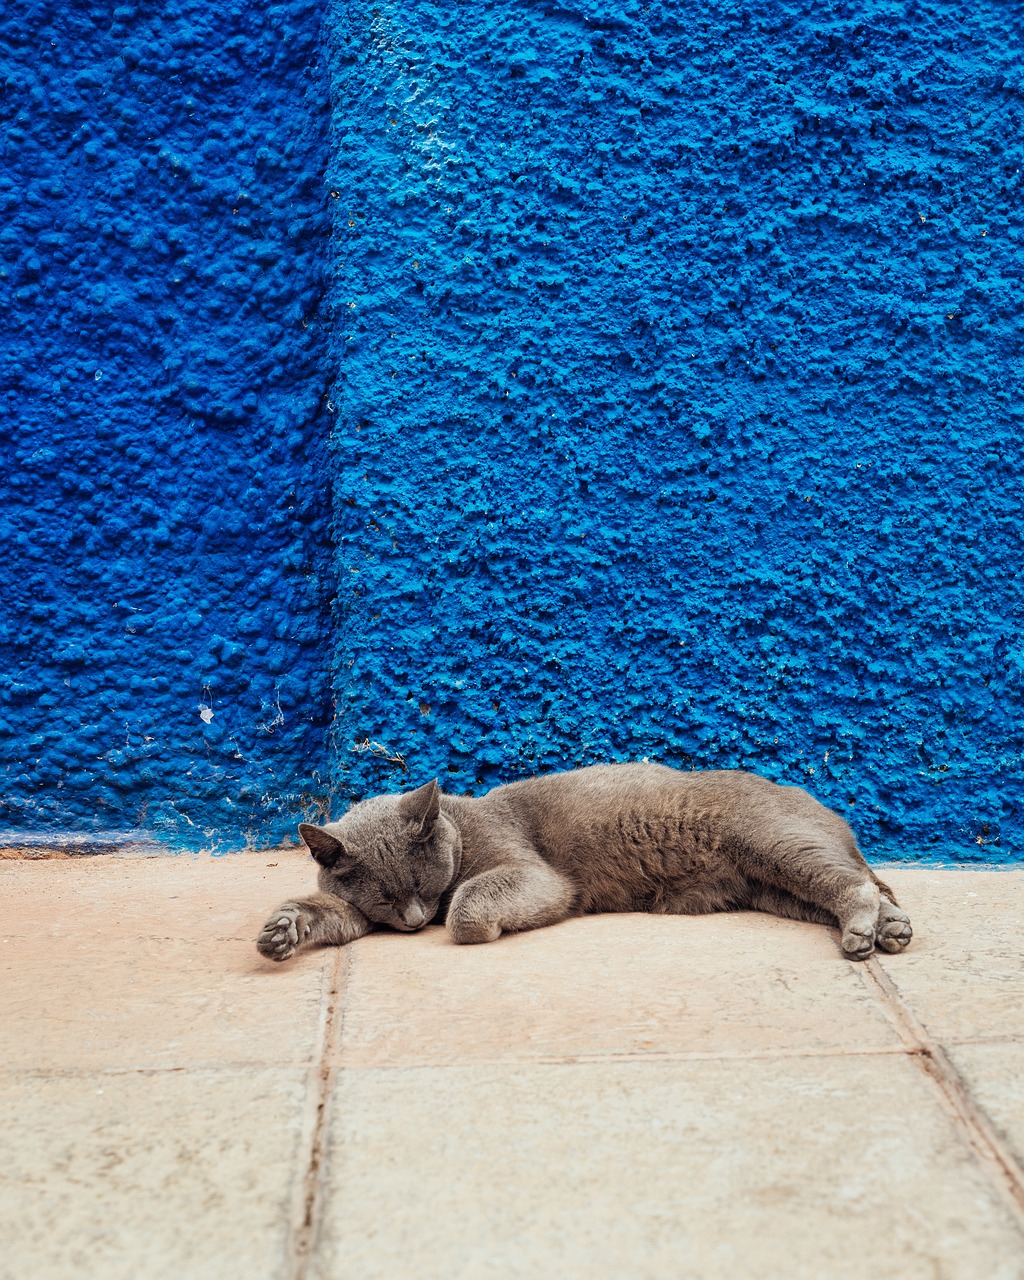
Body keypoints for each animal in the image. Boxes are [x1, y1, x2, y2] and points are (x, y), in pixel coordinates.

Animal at [256, 757, 911, 962]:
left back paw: (866, 930)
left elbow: (467, 908)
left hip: (774, 845)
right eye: (386, 898)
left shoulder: (531, 871)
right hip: (771, 886)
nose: (416, 920)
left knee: (853, 885)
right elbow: (327, 914)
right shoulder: (356, 913)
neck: (463, 827)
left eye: (423, 882)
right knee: (856, 888)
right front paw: (283, 930)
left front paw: (471, 924)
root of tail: (829, 811)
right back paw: (891, 928)